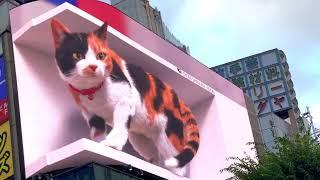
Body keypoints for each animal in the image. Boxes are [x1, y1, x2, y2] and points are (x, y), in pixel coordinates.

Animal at [50, 18, 200, 176]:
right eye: (77, 55)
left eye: (101, 56)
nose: (93, 66)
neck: (93, 91)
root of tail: (177, 97)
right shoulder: (91, 114)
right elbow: (97, 132)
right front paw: (98, 144)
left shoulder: (126, 100)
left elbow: (120, 123)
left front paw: (112, 144)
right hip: (140, 137)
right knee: (154, 154)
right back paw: (155, 165)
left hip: (169, 134)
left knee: (177, 160)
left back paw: (174, 172)